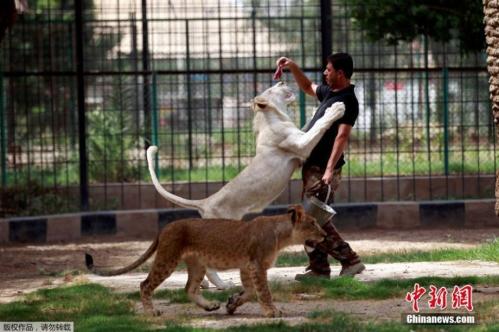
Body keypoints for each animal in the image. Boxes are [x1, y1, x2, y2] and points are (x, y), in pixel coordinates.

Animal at [146, 81, 346, 290]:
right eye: (271, 88)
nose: (281, 80)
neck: (272, 117)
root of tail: (206, 202)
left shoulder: (300, 136)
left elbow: (309, 125)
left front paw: (318, 109)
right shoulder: (301, 146)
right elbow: (318, 126)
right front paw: (336, 108)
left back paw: (205, 284)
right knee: (209, 265)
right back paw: (223, 285)